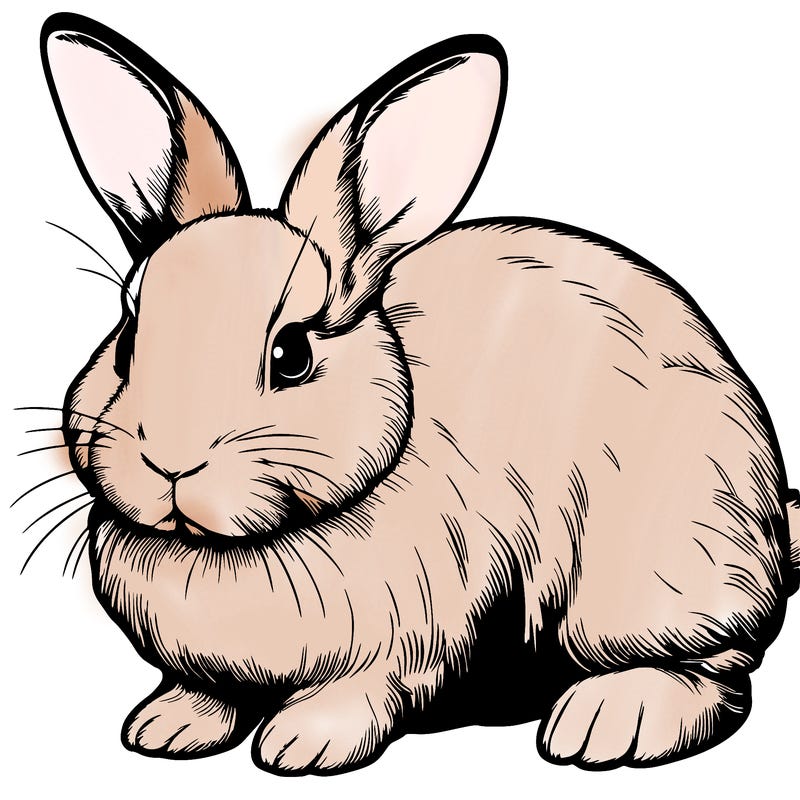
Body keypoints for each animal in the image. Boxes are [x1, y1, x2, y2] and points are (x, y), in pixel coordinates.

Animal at [40, 11, 800, 775]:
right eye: (127, 342)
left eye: (291, 355)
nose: (169, 463)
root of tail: (770, 516)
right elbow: (207, 688)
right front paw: (166, 728)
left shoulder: (419, 633)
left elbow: (370, 687)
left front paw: (303, 744)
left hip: (653, 573)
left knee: (717, 669)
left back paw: (608, 723)